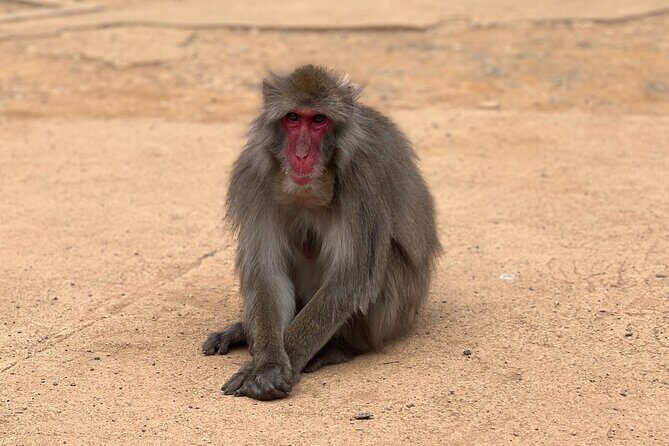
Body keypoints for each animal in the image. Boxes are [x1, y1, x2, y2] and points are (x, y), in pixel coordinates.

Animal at [202, 65, 440, 400]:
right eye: (293, 117)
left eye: (318, 120)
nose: (302, 155)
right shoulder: (253, 177)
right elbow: (268, 274)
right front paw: (267, 360)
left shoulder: (363, 179)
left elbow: (349, 279)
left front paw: (267, 369)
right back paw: (243, 333)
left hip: (394, 316)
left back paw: (339, 348)